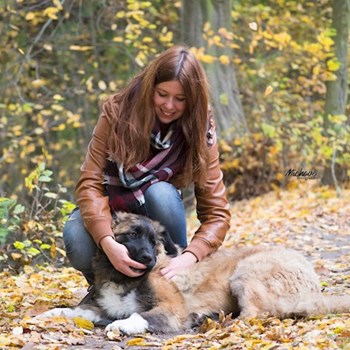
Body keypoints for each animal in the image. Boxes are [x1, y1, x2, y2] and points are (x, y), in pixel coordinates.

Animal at [39, 212, 350, 334]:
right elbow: (76, 310)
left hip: (245, 273)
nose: (148, 259)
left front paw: (121, 325)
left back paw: (215, 321)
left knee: (255, 314)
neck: (123, 278)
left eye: (154, 240)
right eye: (132, 235)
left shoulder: (172, 307)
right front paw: (49, 314)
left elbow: (140, 316)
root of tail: (314, 287)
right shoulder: (105, 307)